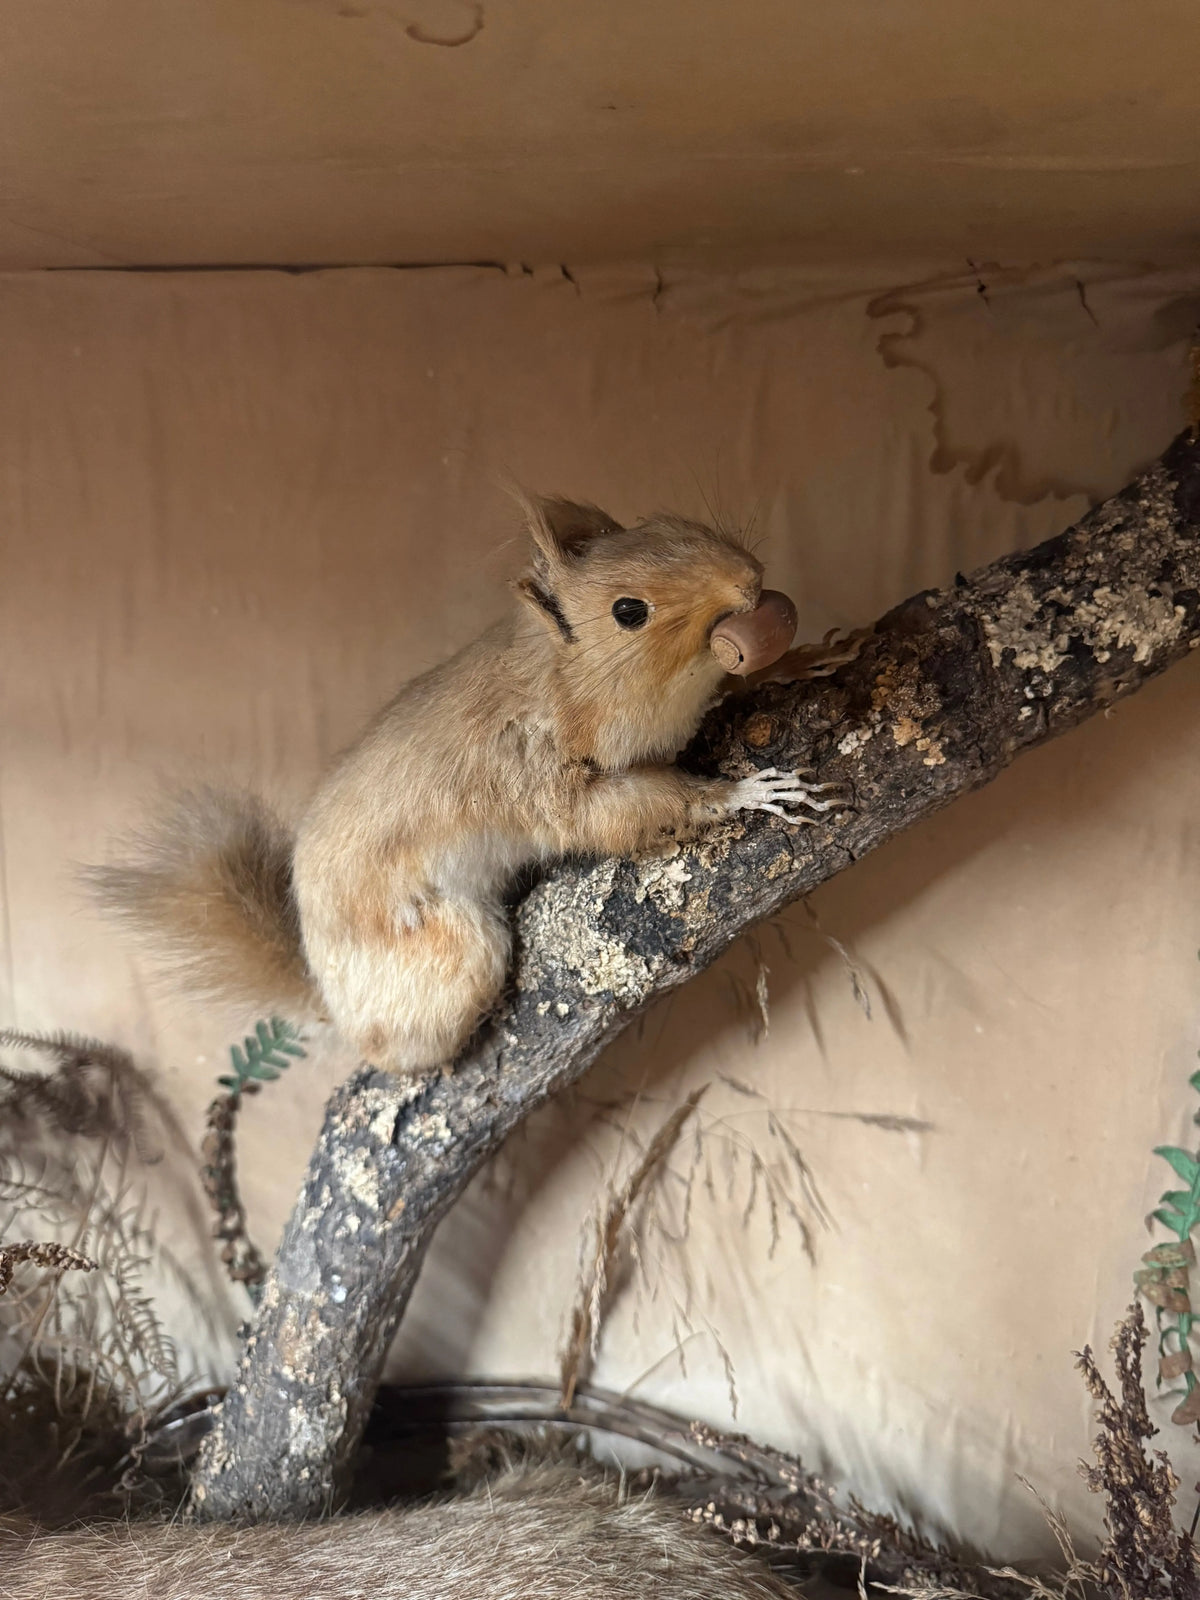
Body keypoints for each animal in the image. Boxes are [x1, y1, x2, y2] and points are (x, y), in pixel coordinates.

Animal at [88, 496, 838, 1077]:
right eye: (629, 611)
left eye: (669, 521)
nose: (750, 580)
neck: (566, 680)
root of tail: (330, 996)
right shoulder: (538, 778)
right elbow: (622, 815)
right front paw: (748, 794)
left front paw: (800, 660)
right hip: (453, 959)